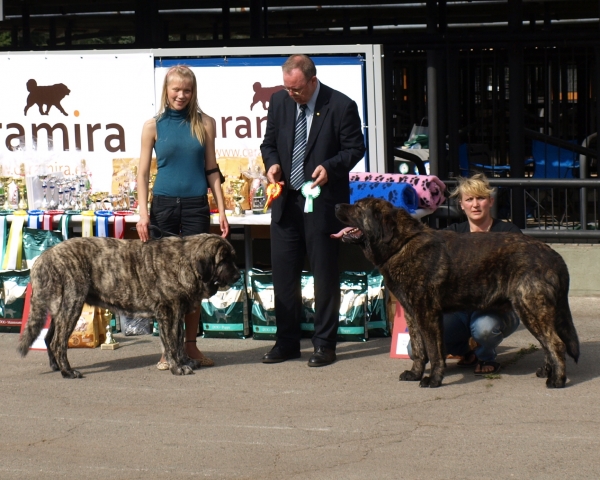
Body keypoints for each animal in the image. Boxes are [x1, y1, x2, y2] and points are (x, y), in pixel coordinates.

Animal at [18, 233, 239, 378]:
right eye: (223, 260)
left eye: (233, 257)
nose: (237, 275)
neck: (186, 263)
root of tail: (44, 256)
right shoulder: (169, 312)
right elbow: (171, 343)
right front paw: (177, 367)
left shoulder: (178, 313)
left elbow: (179, 339)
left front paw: (185, 361)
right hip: (72, 304)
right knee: (58, 342)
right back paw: (68, 371)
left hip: (61, 309)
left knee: (49, 338)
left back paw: (56, 366)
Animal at [336, 199, 580, 390]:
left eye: (358, 208)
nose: (337, 205)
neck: (402, 244)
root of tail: (554, 255)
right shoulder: (412, 314)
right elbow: (419, 349)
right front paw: (415, 374)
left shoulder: (427, 314)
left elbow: (434, 352)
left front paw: (433, 379)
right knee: (548, 344)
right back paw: (547, 371)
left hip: (531, 308)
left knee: (555, 344)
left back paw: (557, 380)